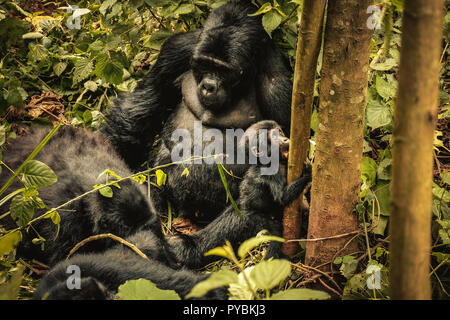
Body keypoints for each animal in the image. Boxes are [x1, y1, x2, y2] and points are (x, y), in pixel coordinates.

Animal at [101, 3, 292, 228]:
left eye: (223, 71)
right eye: (205, 65)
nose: (209, 86)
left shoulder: (277, 76)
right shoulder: (177, 49)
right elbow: (140, 107)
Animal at [167, 120, 312, 270]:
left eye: (280, 132)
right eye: (274, 137)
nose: (285, 139)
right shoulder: (270, 172)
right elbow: (282, 197)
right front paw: (309, 173)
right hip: (254, 218)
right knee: (273, 228)